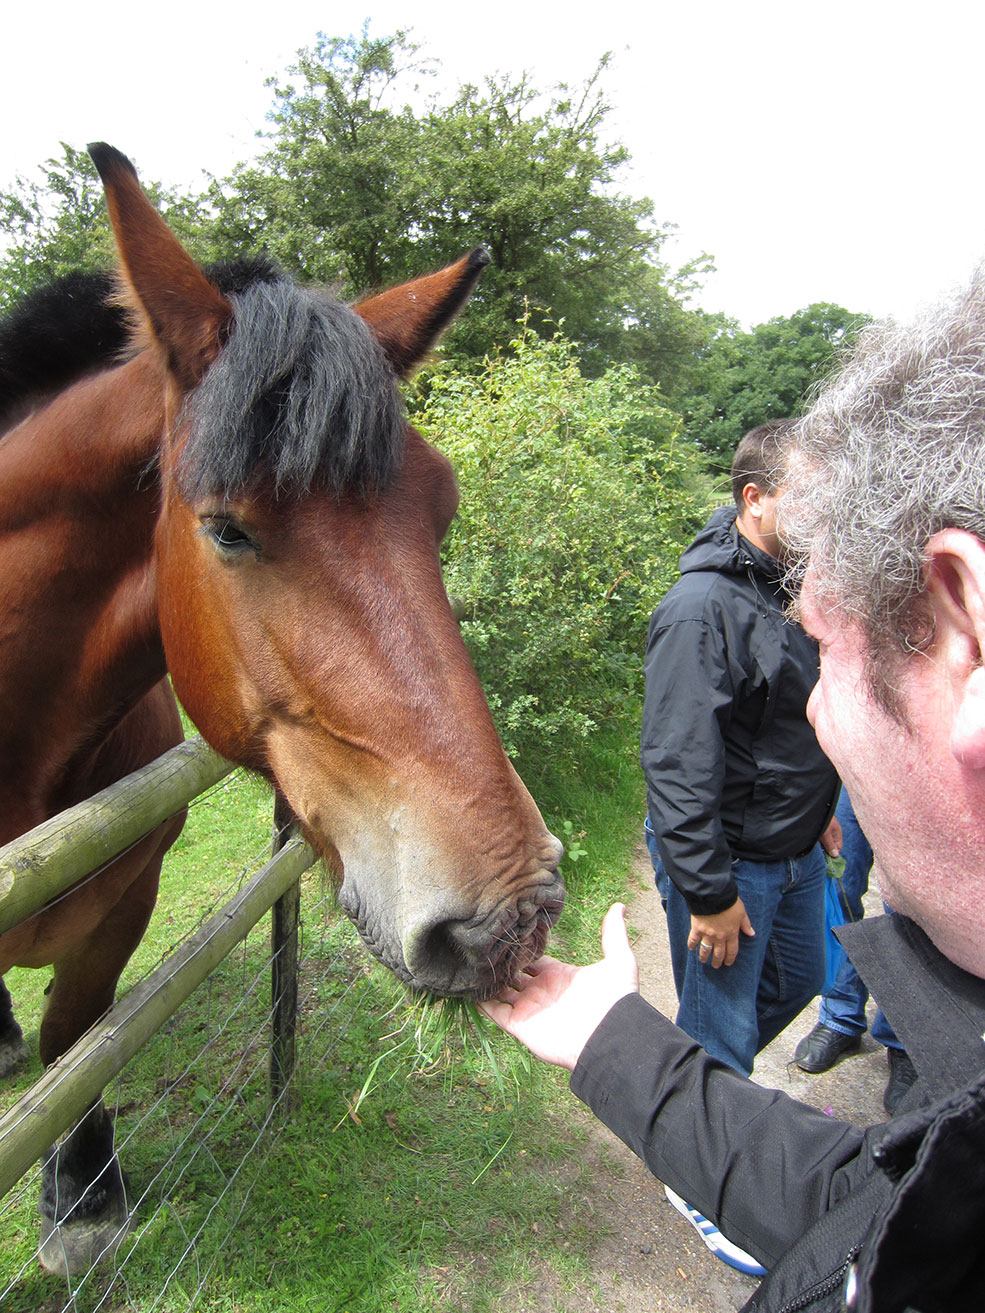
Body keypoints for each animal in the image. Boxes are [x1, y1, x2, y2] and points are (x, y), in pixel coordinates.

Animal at [0, 143, 564, 1276]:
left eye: (440, 509)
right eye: (226, 529)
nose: (509, 915)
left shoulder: (118, 917)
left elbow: (77, 1043)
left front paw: (78, 1195)